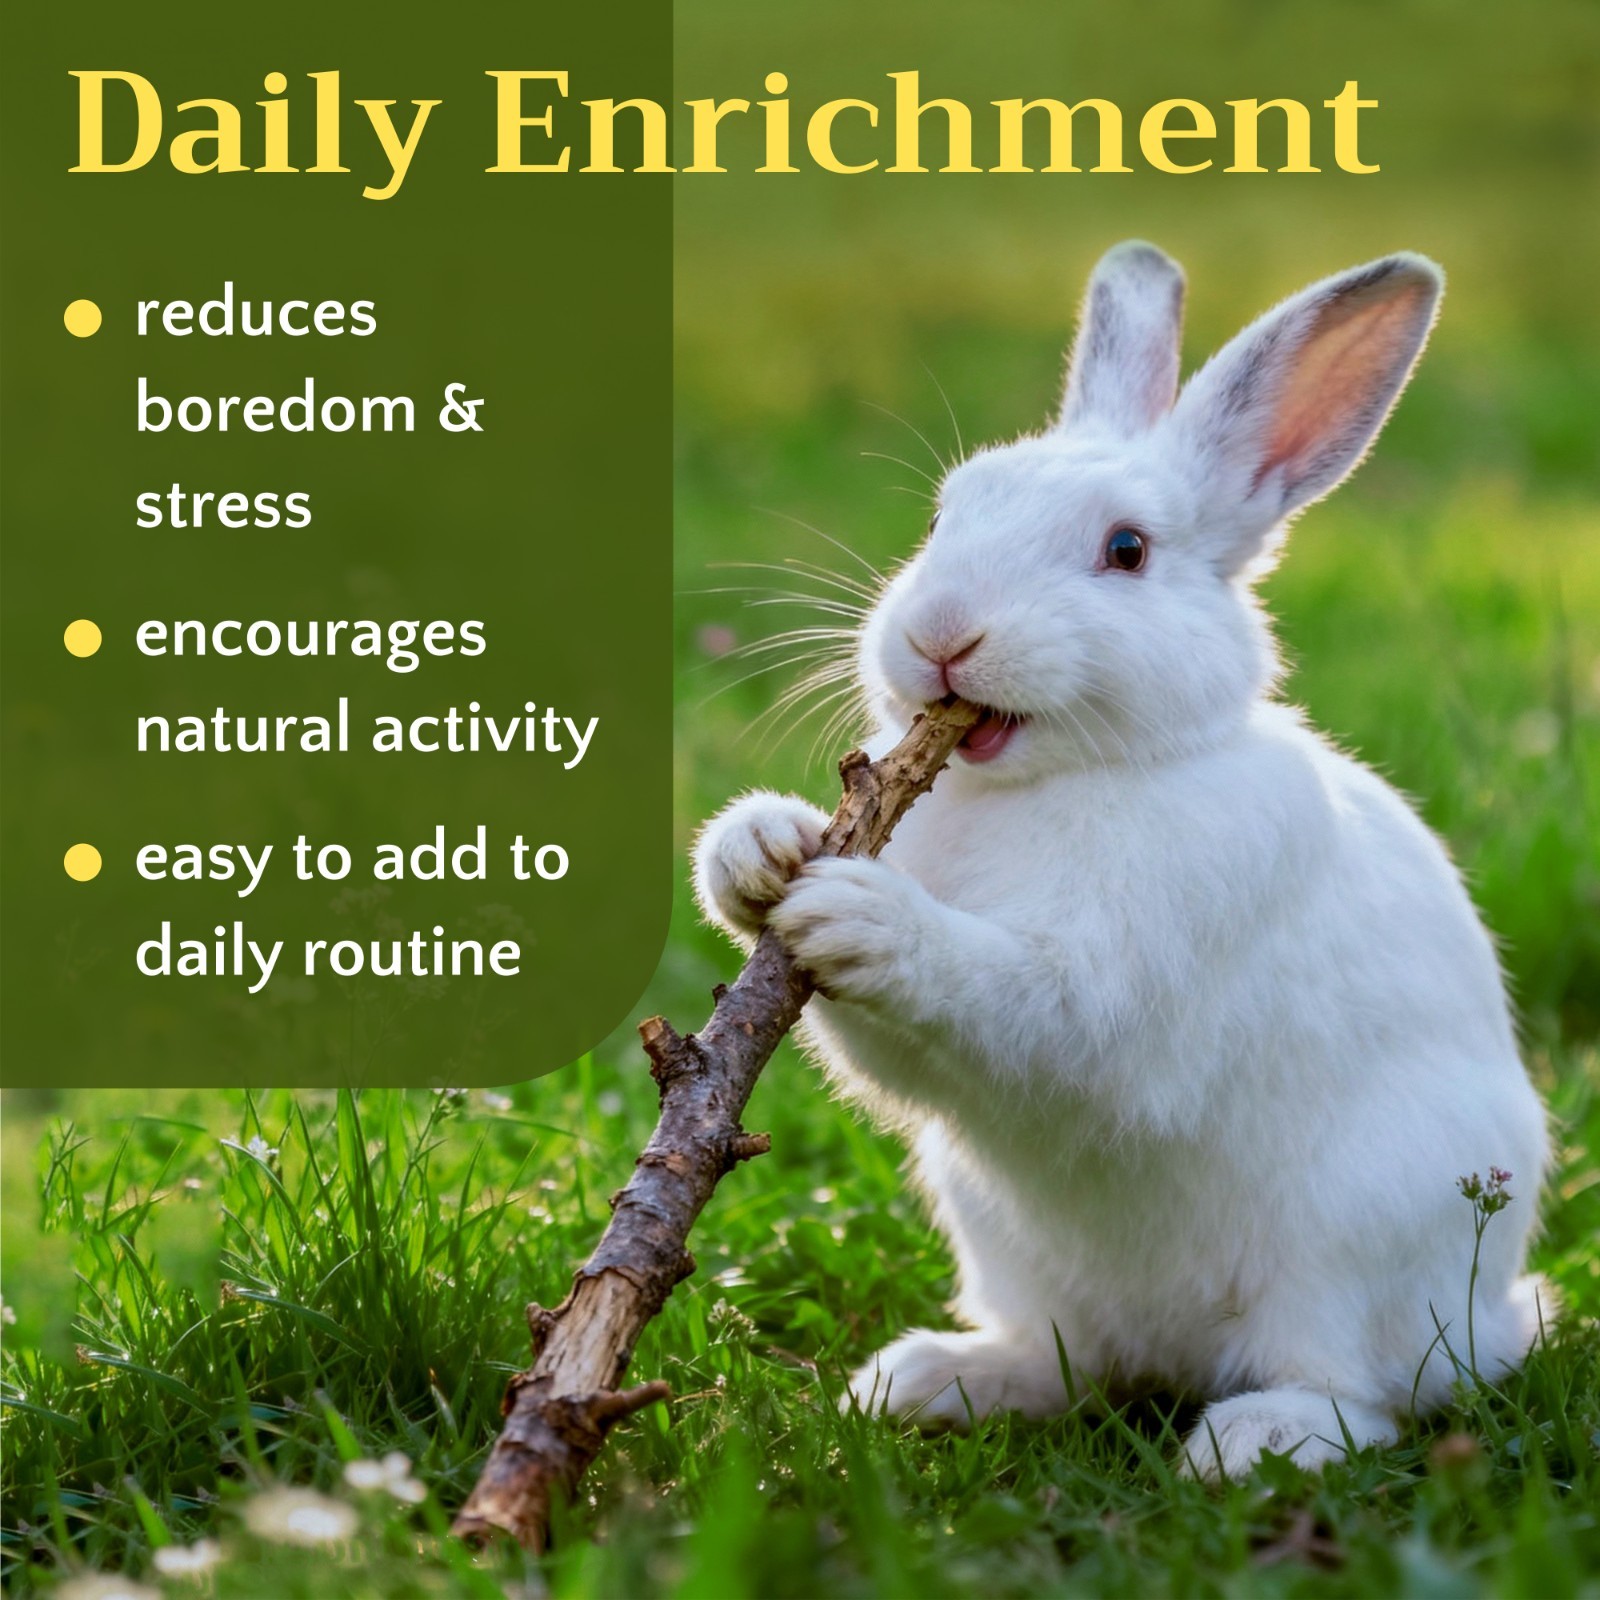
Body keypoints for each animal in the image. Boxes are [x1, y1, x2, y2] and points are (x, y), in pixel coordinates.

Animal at [692, 242, 1550, 1480]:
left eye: (1126, 551)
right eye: (947, 513)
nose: (940, 635)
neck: (1054, 781)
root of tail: (1490, 1321)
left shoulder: (1112, 983)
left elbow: (1017, 995)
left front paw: (858, 911)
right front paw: (756, 849)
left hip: (1357, 1243)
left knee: (1365, 1392)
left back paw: (1248, 1443)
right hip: (1004, 1241)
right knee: (1076, 1364)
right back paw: (930, 1381)